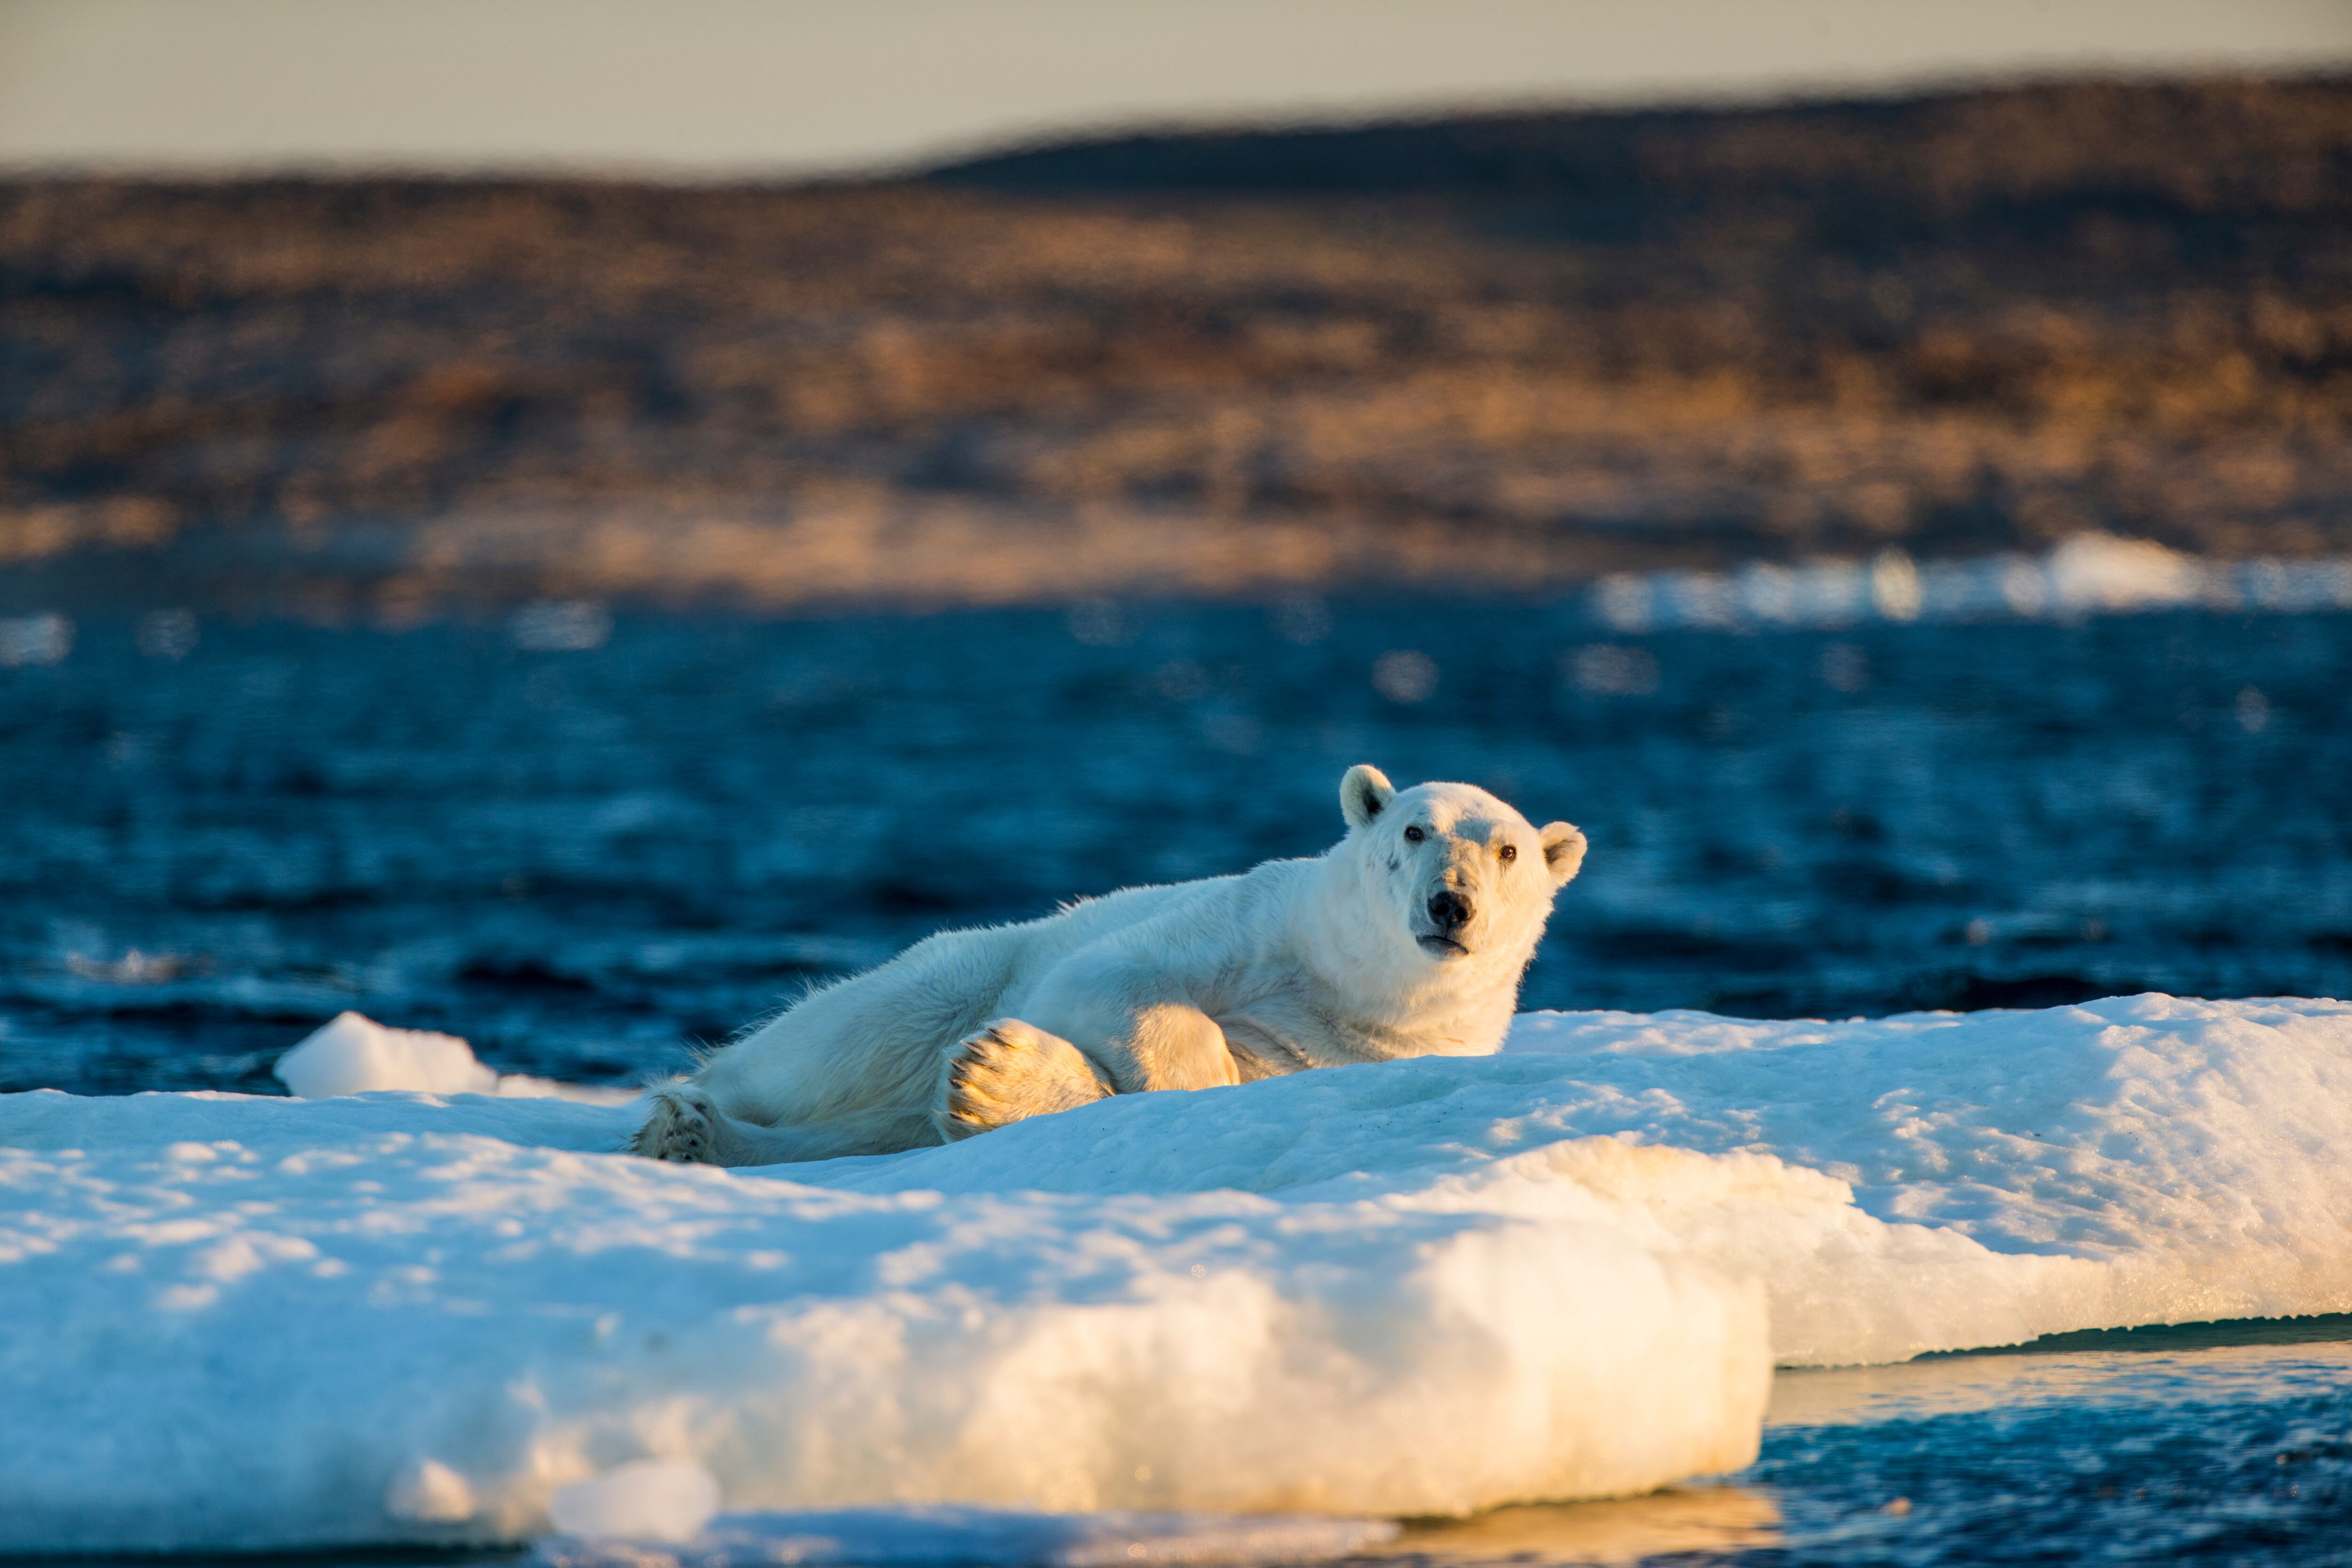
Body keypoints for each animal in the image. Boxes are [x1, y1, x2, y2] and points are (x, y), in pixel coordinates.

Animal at [630, 766, 1581, 1170]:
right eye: (1415, 830)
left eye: (1506, 851)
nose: (1450, 905)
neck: (1349, 980)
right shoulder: (1249, 923)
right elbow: (1119, 981)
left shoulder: (1358, 1052)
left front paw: (993, 1082)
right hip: (968, 963)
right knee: (848, 1040)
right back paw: (684, 1113)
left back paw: (700, 1136)